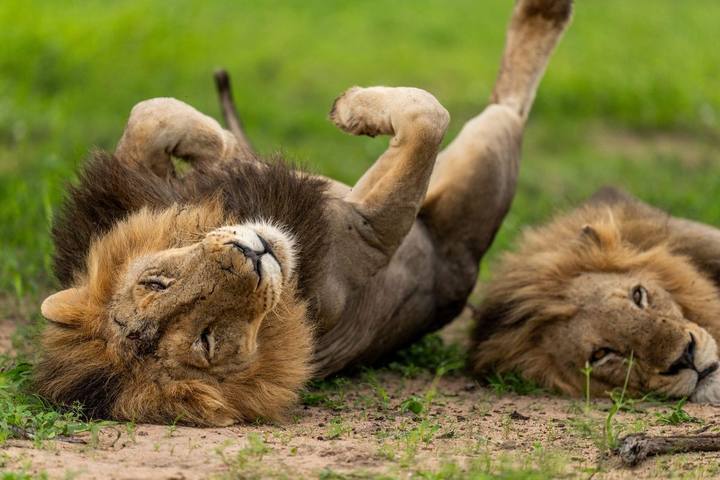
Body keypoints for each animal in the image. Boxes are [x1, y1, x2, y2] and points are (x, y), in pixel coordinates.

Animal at [37, 0, 573, 425]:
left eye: (155, 282)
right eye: (206, 342)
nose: (248, 255)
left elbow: (151, 115)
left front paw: (224, 145)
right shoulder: (367, 231)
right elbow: (426, 114)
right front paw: (349, 109)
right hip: (479, 177)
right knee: (507, 105)